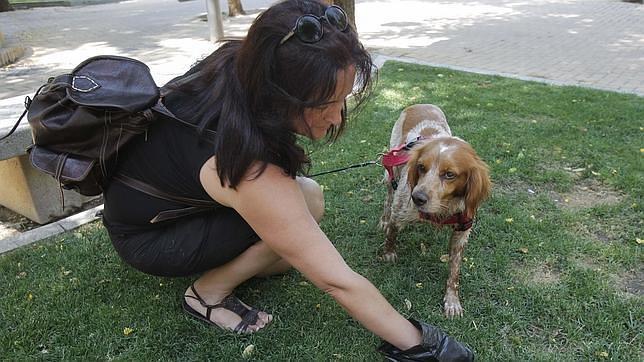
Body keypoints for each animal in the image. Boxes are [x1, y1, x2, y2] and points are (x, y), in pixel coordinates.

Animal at [380, 104, 490, 316]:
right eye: (421, 167)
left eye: (449, 174)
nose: (417, 198)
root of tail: (419, 104)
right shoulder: (400, 210)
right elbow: (392, 233)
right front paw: (388, 253)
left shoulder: (462, 231)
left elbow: (454, 271)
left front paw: (452, 300)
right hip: (391, 172)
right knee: (388, 198)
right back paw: (383, 219)